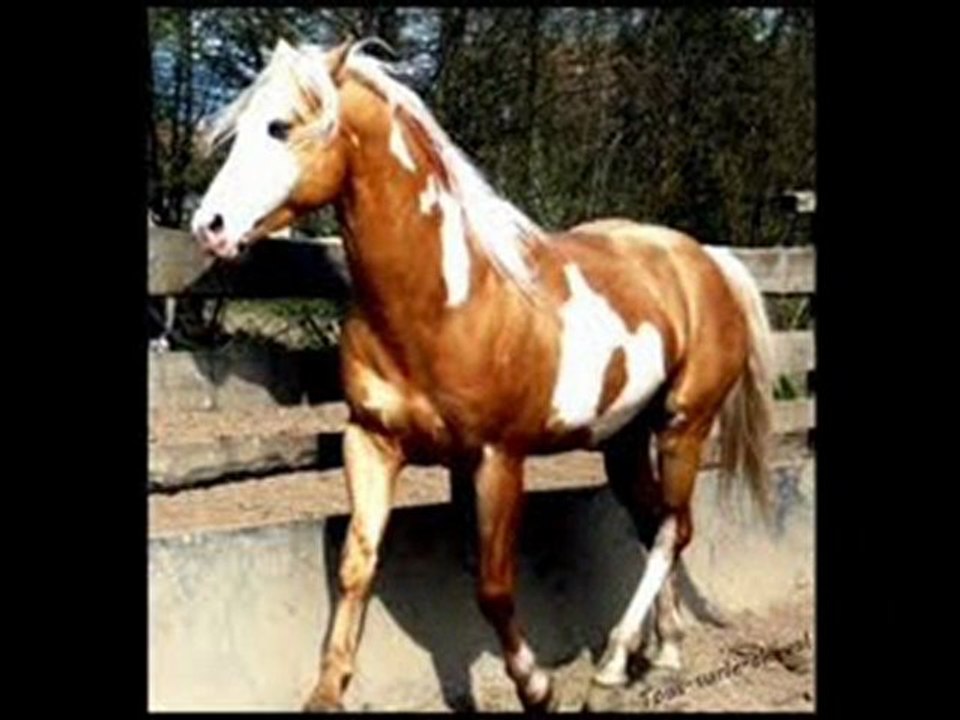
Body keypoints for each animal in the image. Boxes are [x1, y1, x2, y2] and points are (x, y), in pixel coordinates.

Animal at [190, 38, 775, 712]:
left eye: (280, 126)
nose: (209, 226)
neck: (445, 303)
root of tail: (706, 259)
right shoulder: (371, 442)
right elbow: (358, 565)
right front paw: (326, 693)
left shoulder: (499, 459)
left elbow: (494, 588)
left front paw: (537, 686)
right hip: (623, 440)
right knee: (660, 526)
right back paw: (666, 653)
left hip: (684, 425)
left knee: (672, 531)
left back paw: (610, 667)